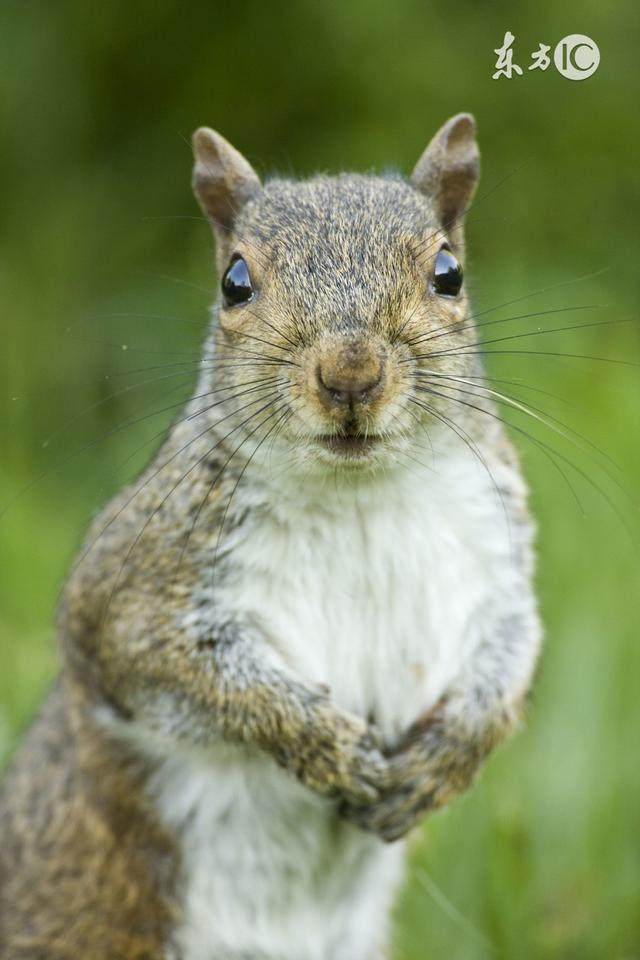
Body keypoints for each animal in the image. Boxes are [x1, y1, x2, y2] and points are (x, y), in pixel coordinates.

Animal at [0, 114, 540, 960]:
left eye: (449, 273)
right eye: (235, 282)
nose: (350, 372)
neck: (359, 498)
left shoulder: (497, 560)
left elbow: (513, 654)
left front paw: (446, 761)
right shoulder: (131, 591)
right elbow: (183, 669)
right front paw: (326, 746)